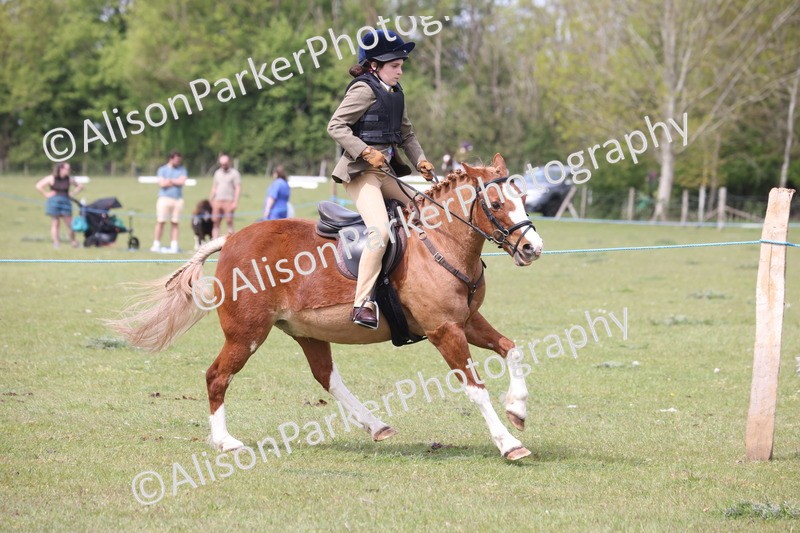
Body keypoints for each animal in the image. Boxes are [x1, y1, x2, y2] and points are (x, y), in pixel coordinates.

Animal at [108, 154, 544, 460]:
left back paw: (376, 425)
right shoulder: (444, 330)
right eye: (496, 204)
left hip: (306, 331)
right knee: (217, 376)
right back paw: (226, 442)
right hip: (246, 334)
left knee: (326, 376)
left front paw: (518, 409)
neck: (440, 243)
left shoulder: (466, 321)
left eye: (523, 198)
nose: (532, 248)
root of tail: (230, 239)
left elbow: (512, 349)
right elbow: (476, 388)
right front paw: (509, 443)